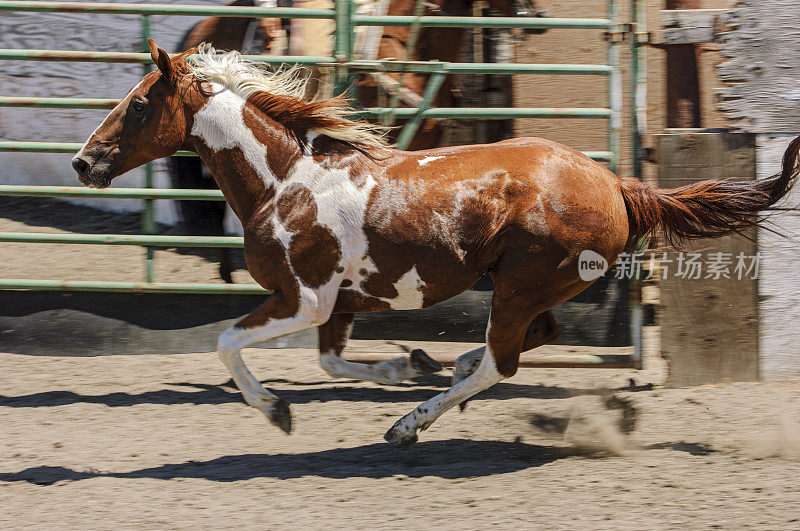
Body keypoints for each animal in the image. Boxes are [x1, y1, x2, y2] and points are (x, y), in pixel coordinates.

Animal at [73, 43, 792, 446]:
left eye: (139, 103)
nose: (84, 162)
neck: (287, 180)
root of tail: (616, 182)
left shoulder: (304, 299)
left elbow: (226, 342)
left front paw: (277, 410)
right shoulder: (338, 306)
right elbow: (331, 363)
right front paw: (403, 365)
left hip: (522, 284)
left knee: (503, 361)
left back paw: (408, 424)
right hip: (528, 287)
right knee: (531, 339)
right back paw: (441, 371)